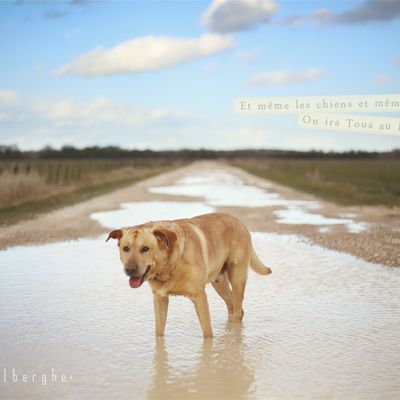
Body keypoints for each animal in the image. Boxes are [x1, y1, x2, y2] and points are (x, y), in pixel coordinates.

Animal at [106, 212, 272, 338]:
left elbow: (207, 333)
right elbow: (159, 332)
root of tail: (238, 220)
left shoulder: (200, 298)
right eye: (126, 248)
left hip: (237, 278)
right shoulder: (160, 299)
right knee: (233, 307)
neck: (170, 265)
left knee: (237, 310)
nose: (129, 269)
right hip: (219, 283)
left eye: (145, 248)